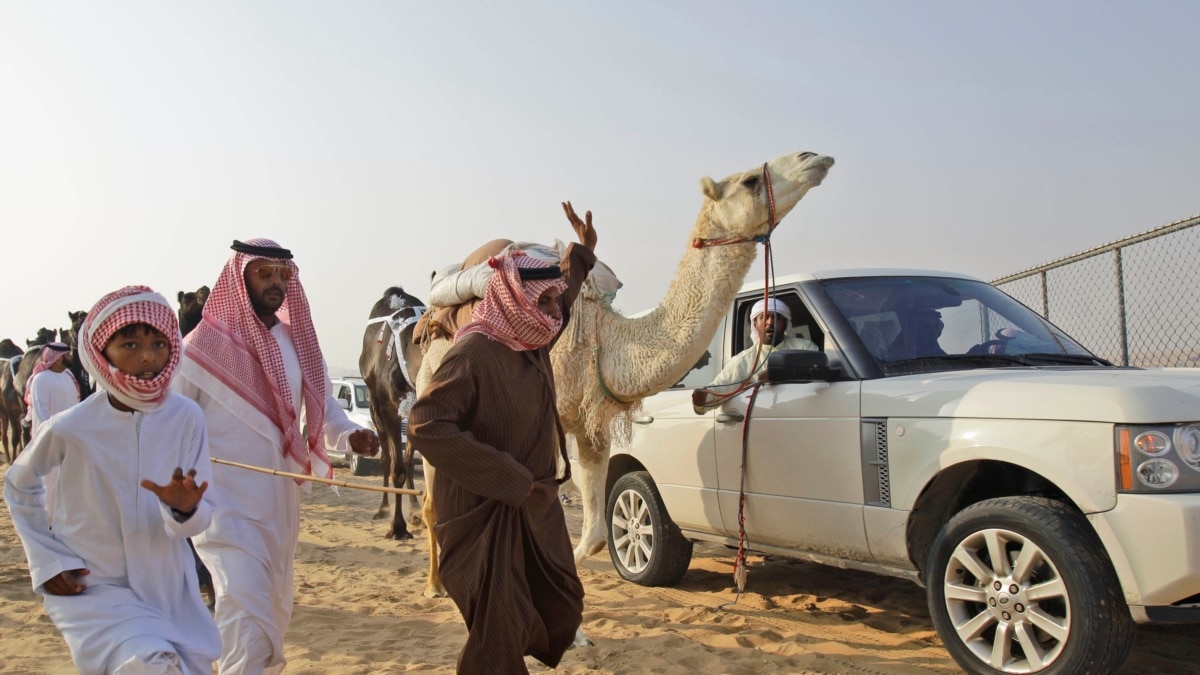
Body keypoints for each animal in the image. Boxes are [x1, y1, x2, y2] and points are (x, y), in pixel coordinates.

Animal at [357, 285, 424, 538]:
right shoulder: (388, 410)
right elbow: (396, 468)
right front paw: (398, 527)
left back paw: (415, 508)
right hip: (375, 404)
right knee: (386, 458)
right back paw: (383, 508)